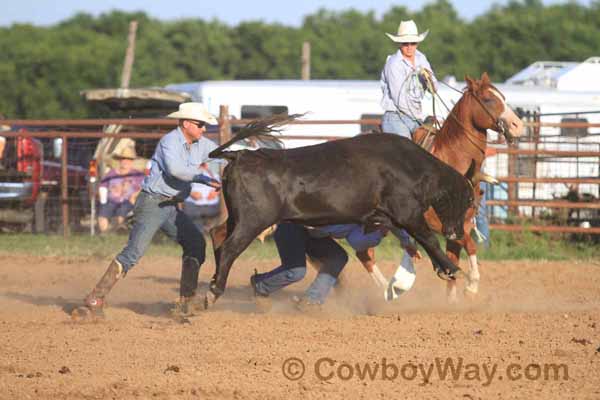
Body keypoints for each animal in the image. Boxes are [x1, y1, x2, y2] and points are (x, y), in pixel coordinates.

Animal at [360, 73, 524, 302]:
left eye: (503, 97)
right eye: (488, 99)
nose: (519, 126)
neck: (452, 163)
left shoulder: (463, 222)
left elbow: (455, 258)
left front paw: (453, 298)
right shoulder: (440, 224)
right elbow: (468, 245)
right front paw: (471, 285)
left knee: (365, 253)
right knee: (364, 253)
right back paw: (389, 289)